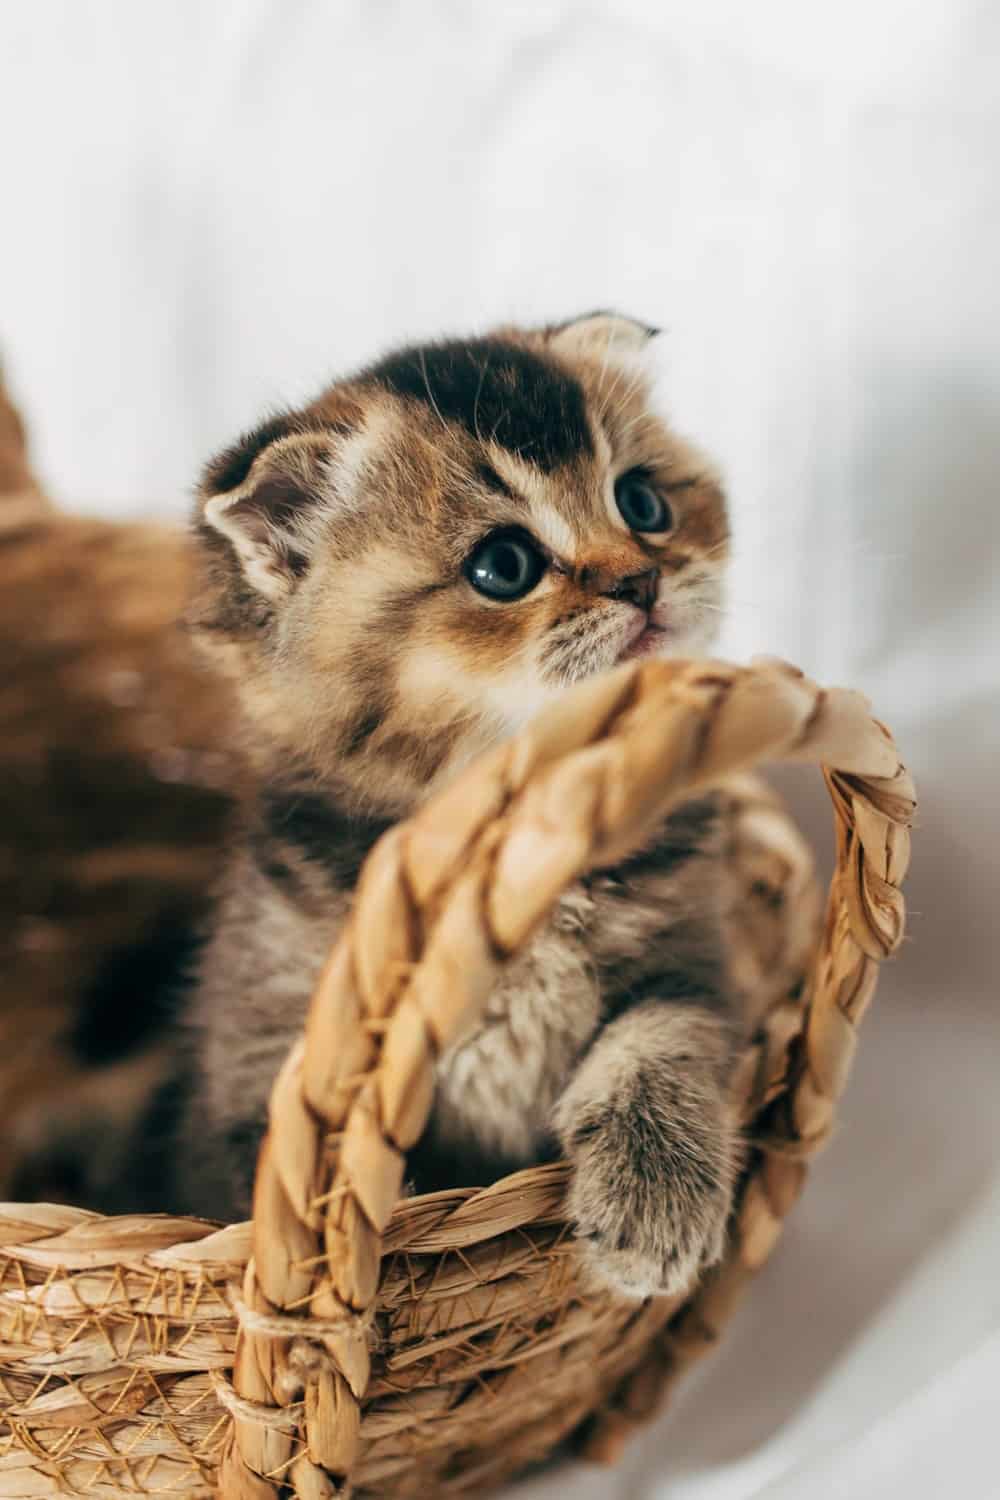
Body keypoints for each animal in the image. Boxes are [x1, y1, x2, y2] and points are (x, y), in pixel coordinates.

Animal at [179, 310, 740, 1296]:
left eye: (643, 504)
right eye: (503, 565)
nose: (641, 580)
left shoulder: (694, 951)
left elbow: (662, 1034)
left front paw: (655, 1193)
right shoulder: (262, 1052)